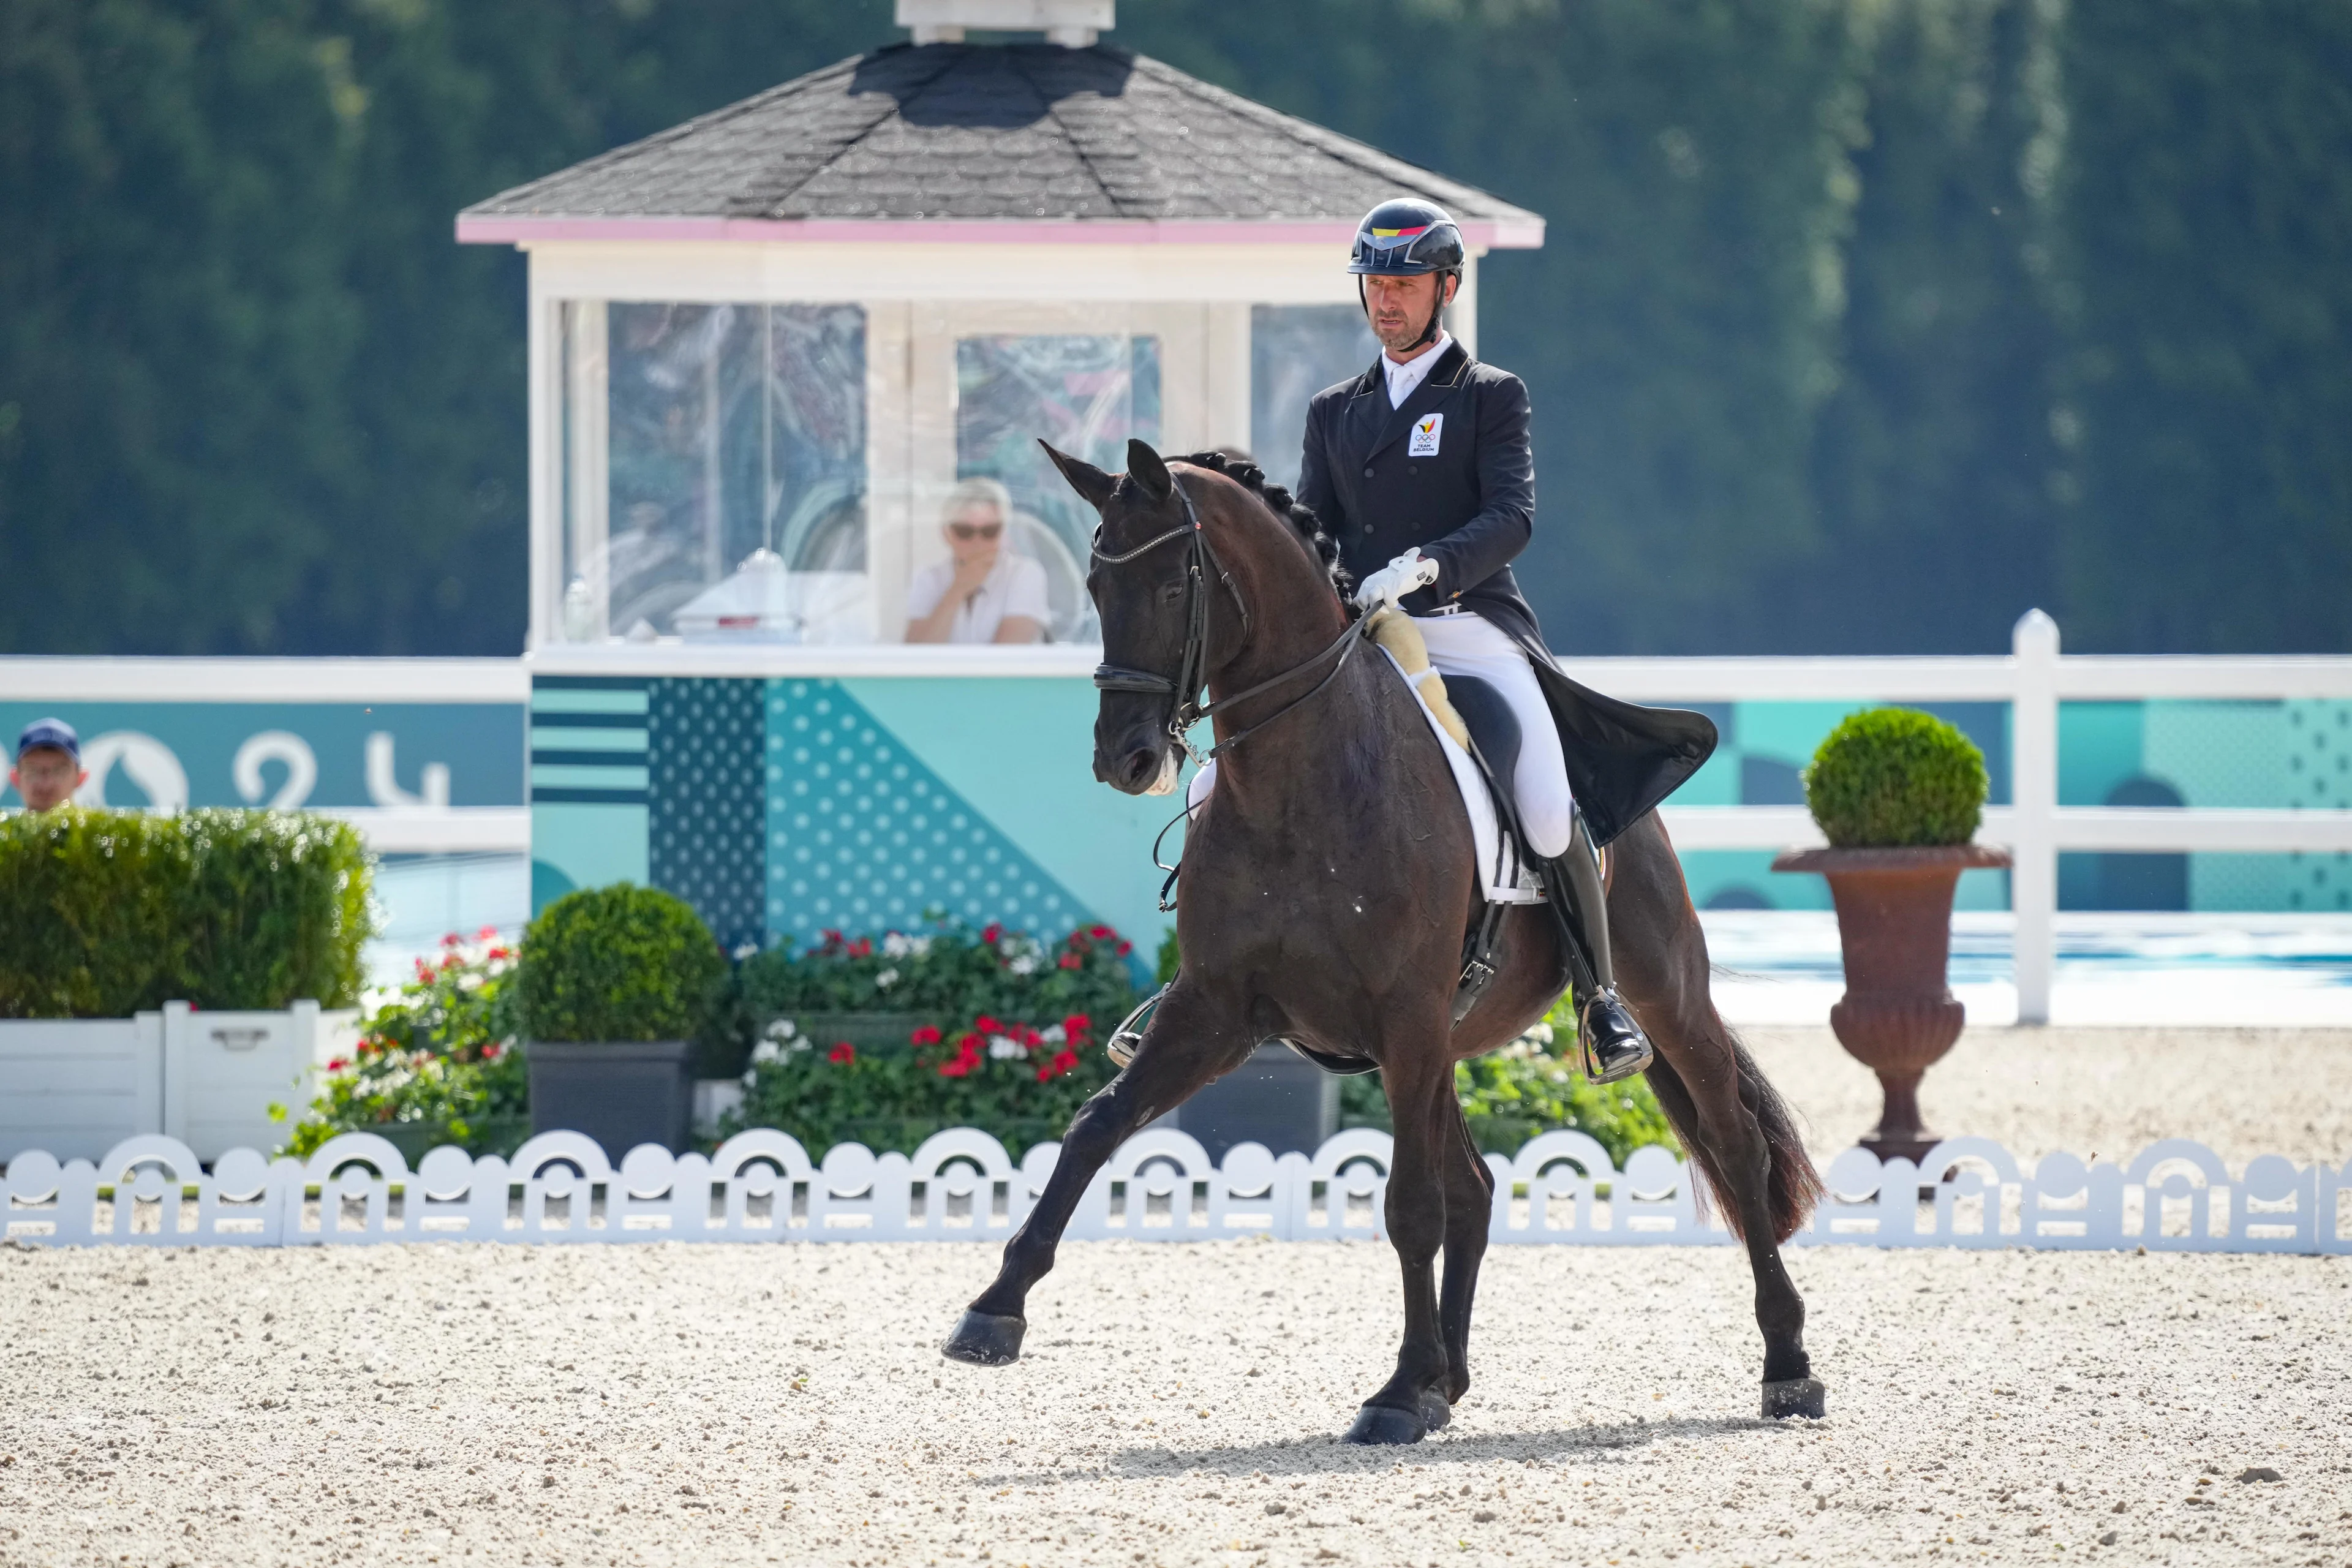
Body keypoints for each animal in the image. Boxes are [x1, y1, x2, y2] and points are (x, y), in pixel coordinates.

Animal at [945, 442, 1825, 1448]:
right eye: (1094, 584)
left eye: (1173, 585)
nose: (1124, 760)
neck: (1299, 781)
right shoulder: (1218, 1011)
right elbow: (1097, 1124)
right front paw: (993, 1311)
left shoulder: (1402, 1018)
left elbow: (1409, 1206)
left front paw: (1397, 1393)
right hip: (1447, 1041)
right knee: (1476, 1186)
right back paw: (1452, 1382)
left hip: (1657, 990)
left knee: (1733, 1145)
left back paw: (1788, 1368)